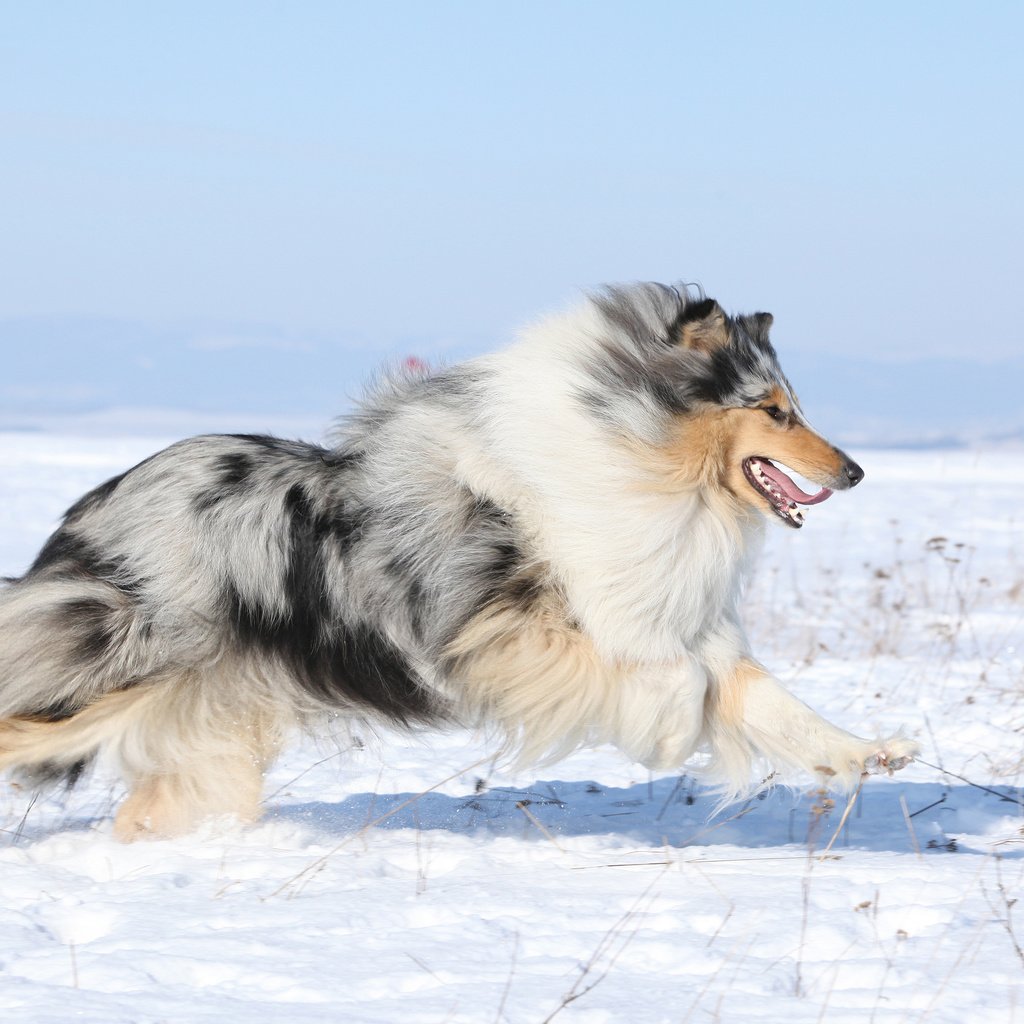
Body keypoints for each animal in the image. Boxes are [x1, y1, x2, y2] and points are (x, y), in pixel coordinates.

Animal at [0, 282, 917, 839]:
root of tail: (96, 502)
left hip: (214, 724)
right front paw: (666, 737)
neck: (641, 459)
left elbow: (764, 698)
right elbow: (677, 686)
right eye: (774, 410)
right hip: (116, 662)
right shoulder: (518, 631)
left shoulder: (678, 620)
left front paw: (871, 753)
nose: (856, 471)